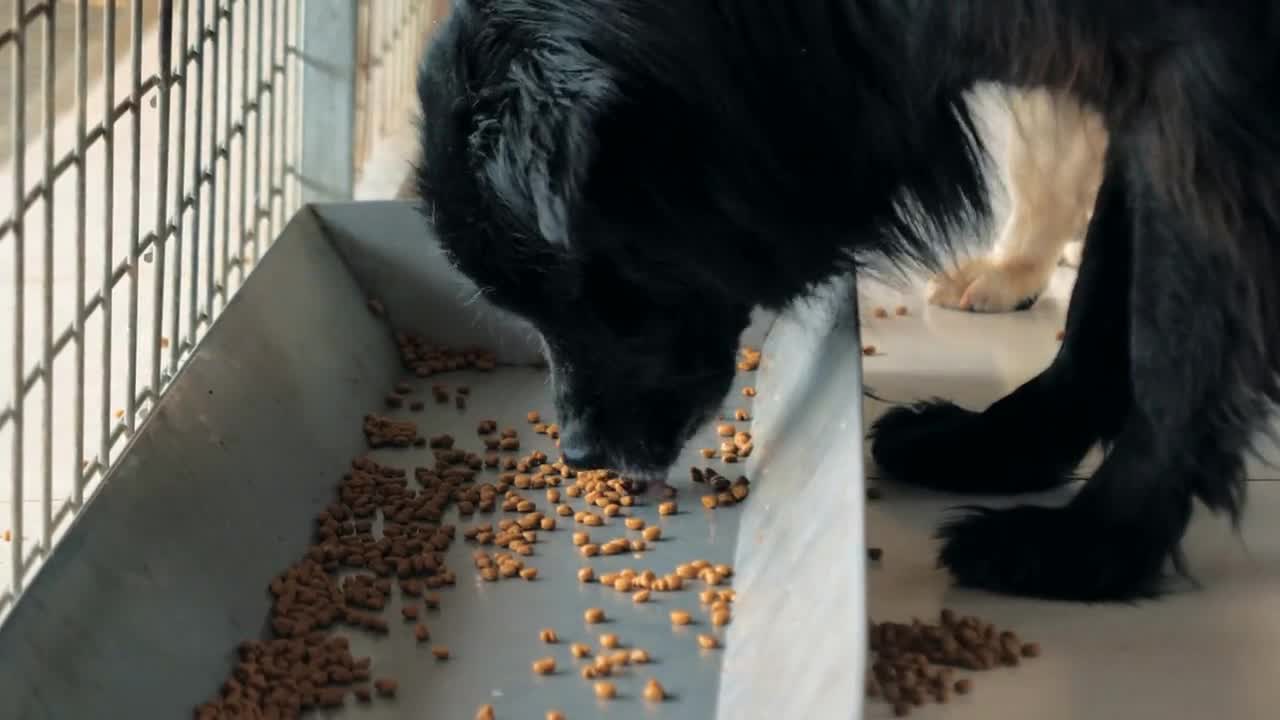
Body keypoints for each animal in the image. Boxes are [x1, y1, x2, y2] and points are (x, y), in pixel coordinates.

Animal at [417, 0, 1280, 599]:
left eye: (567, 286)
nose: (578, 455)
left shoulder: (1200, 78)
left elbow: (1173, 340)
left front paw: (1098, 542)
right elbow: (1102, 303)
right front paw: (1011, 443)